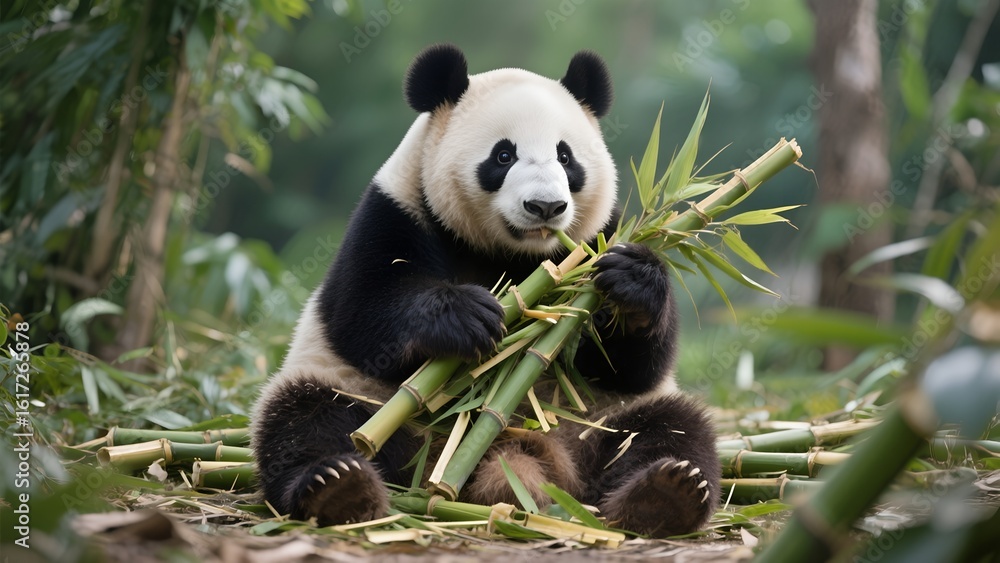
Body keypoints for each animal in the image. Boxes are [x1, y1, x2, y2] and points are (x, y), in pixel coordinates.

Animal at [252, 44, 720, 538]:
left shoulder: (598, 236)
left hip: (596, 421)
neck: (511, 255)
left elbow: (632, 367)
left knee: (670, 429)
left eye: (566, 157)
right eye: (503, 155)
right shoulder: (395, 212)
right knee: (308, 419)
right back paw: (338, 487)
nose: (546, 207)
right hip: (365, 400)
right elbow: (363, 315)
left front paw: (632, 281)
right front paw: (467, 316)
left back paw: (664, 494)